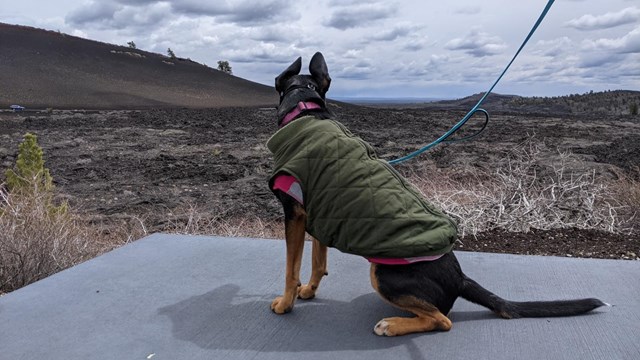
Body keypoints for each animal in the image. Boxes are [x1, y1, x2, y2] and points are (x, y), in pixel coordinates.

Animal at [264, 52, 604, 336]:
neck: (305, 109)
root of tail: (460, 277)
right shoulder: (315, 209)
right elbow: (317, 261)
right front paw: (309, 291)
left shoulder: (293, 214)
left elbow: (290, 268)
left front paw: (285, 303)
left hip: (384, 274)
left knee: (442, 320)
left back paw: (393, 324)